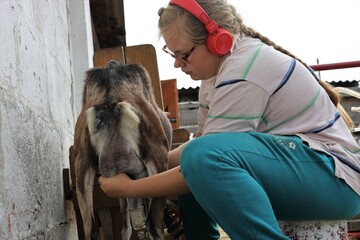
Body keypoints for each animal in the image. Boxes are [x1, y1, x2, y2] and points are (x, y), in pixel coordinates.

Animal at [72, 59, 172, 239]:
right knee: (153, 225)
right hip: (157, 162)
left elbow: (126, 224)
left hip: (82, 168)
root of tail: (110, 102)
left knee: (92, 231)